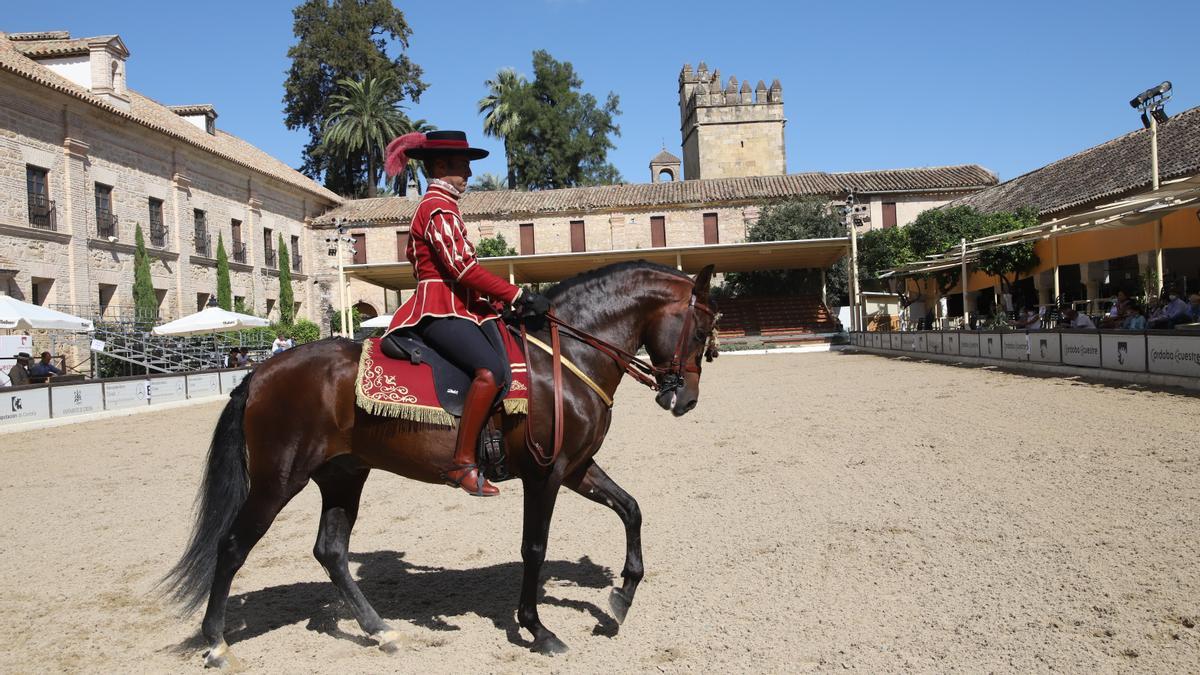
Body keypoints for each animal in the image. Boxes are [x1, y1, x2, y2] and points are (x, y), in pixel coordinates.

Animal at [163, 260, 715, 662]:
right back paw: (216, 642)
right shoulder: (545, 474)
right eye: (701, 330)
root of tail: (261, 372)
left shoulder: (576, 468)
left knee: (331, 552)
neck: (564, 357)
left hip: (343, 476)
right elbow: (534, 548)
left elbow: (632, 509)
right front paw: (537, 628)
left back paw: (380, 630)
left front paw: (621, 599)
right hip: (278, 480)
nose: (685, 399)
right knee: (232, 546)